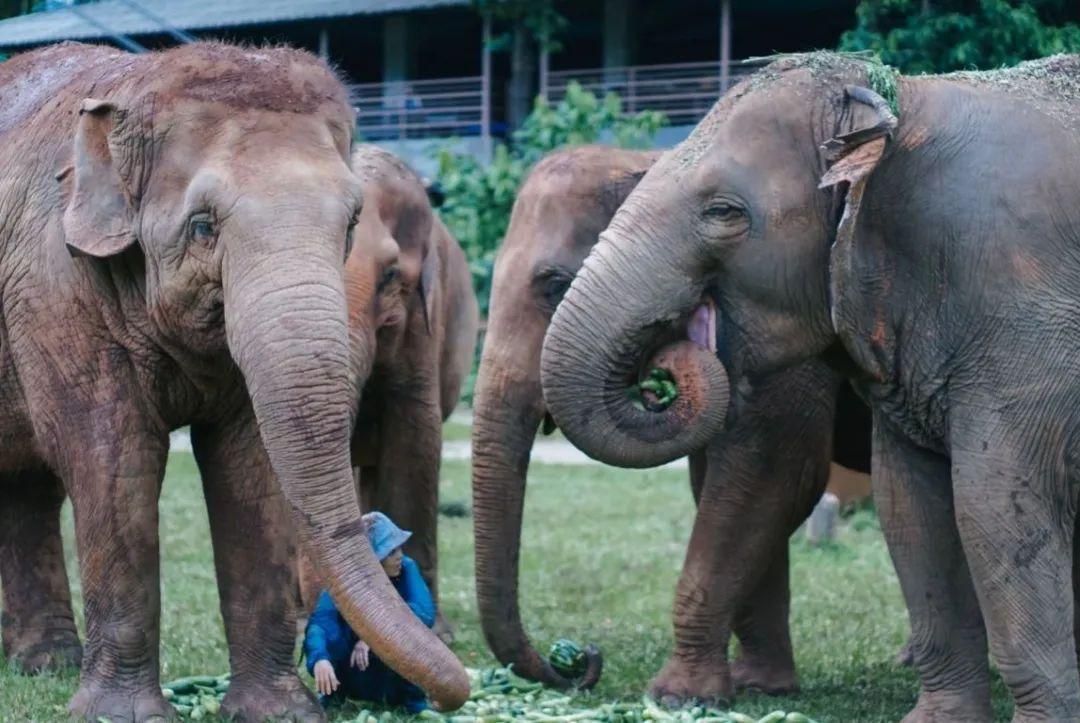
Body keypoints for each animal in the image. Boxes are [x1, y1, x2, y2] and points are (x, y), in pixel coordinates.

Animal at [473, 144, 868, 700]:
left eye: (555, 285)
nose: (582, 659)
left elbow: (777, 469)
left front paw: (680, 696)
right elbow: (721, 482)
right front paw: (760, 686)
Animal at [540, 49, 1080, 717]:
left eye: (723, 212)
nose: (667, 361)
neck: (901, 101)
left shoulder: (1023, 315)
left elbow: (995, 504)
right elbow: (911, 505)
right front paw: (938, 720)